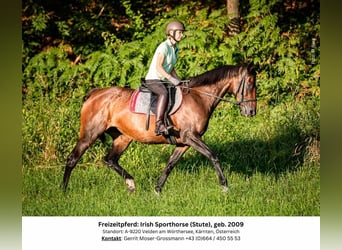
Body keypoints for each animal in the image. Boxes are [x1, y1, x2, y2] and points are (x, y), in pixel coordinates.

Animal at [62, 64, 256, 193]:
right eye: (250, 83)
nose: (251, 111)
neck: (199, 97)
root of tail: (94, 94)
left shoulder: (184, 143)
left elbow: (170, 164)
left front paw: (157, 189)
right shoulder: (191, 136)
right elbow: (212, 156)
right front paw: (225, 186)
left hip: (123, 137)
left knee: (110, 160)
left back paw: (131, 184)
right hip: (90, 134)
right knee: (72, 158)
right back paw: (63, 191)